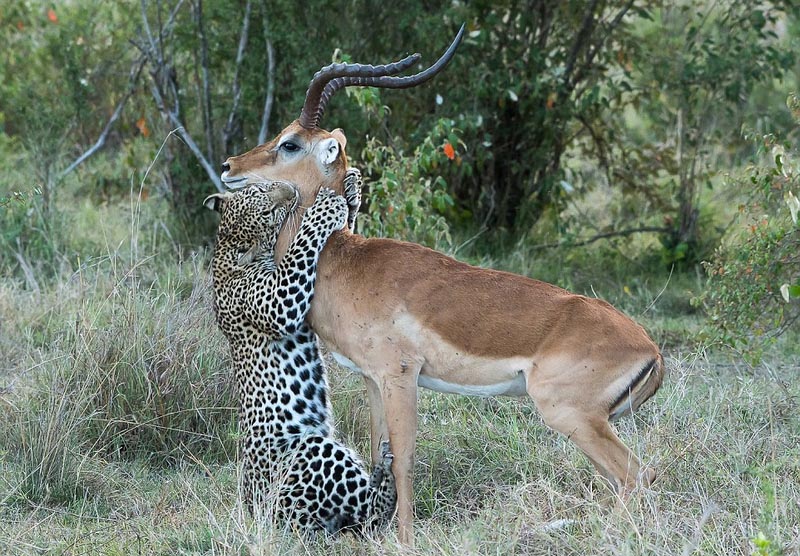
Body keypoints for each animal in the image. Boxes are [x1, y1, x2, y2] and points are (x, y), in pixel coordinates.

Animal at [203, 170, 396, 536]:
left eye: (261, 187)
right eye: (268, 214)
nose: (291, 190)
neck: (226, 250)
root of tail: (274, 519)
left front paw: (351, 192)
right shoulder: (281, 300)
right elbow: (301, 245)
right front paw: (324, 207)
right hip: (311, 450)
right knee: (371, 517)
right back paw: (387, 475)